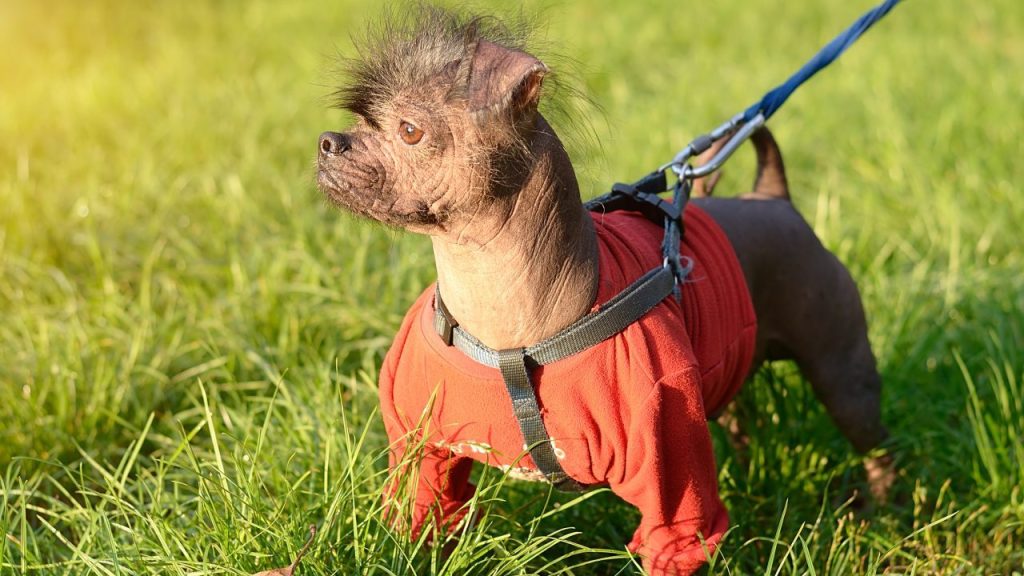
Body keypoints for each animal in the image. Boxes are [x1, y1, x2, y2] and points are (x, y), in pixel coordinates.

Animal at [315, 6, 892, 569]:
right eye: (360, 121)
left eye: (410, 130)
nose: (327, 141)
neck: (506, 330)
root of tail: (772, 198)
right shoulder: (422, 461)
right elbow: (417, 527)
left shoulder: (671, 494)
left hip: (845, 379)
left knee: (878, 449)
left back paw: (883, 516)